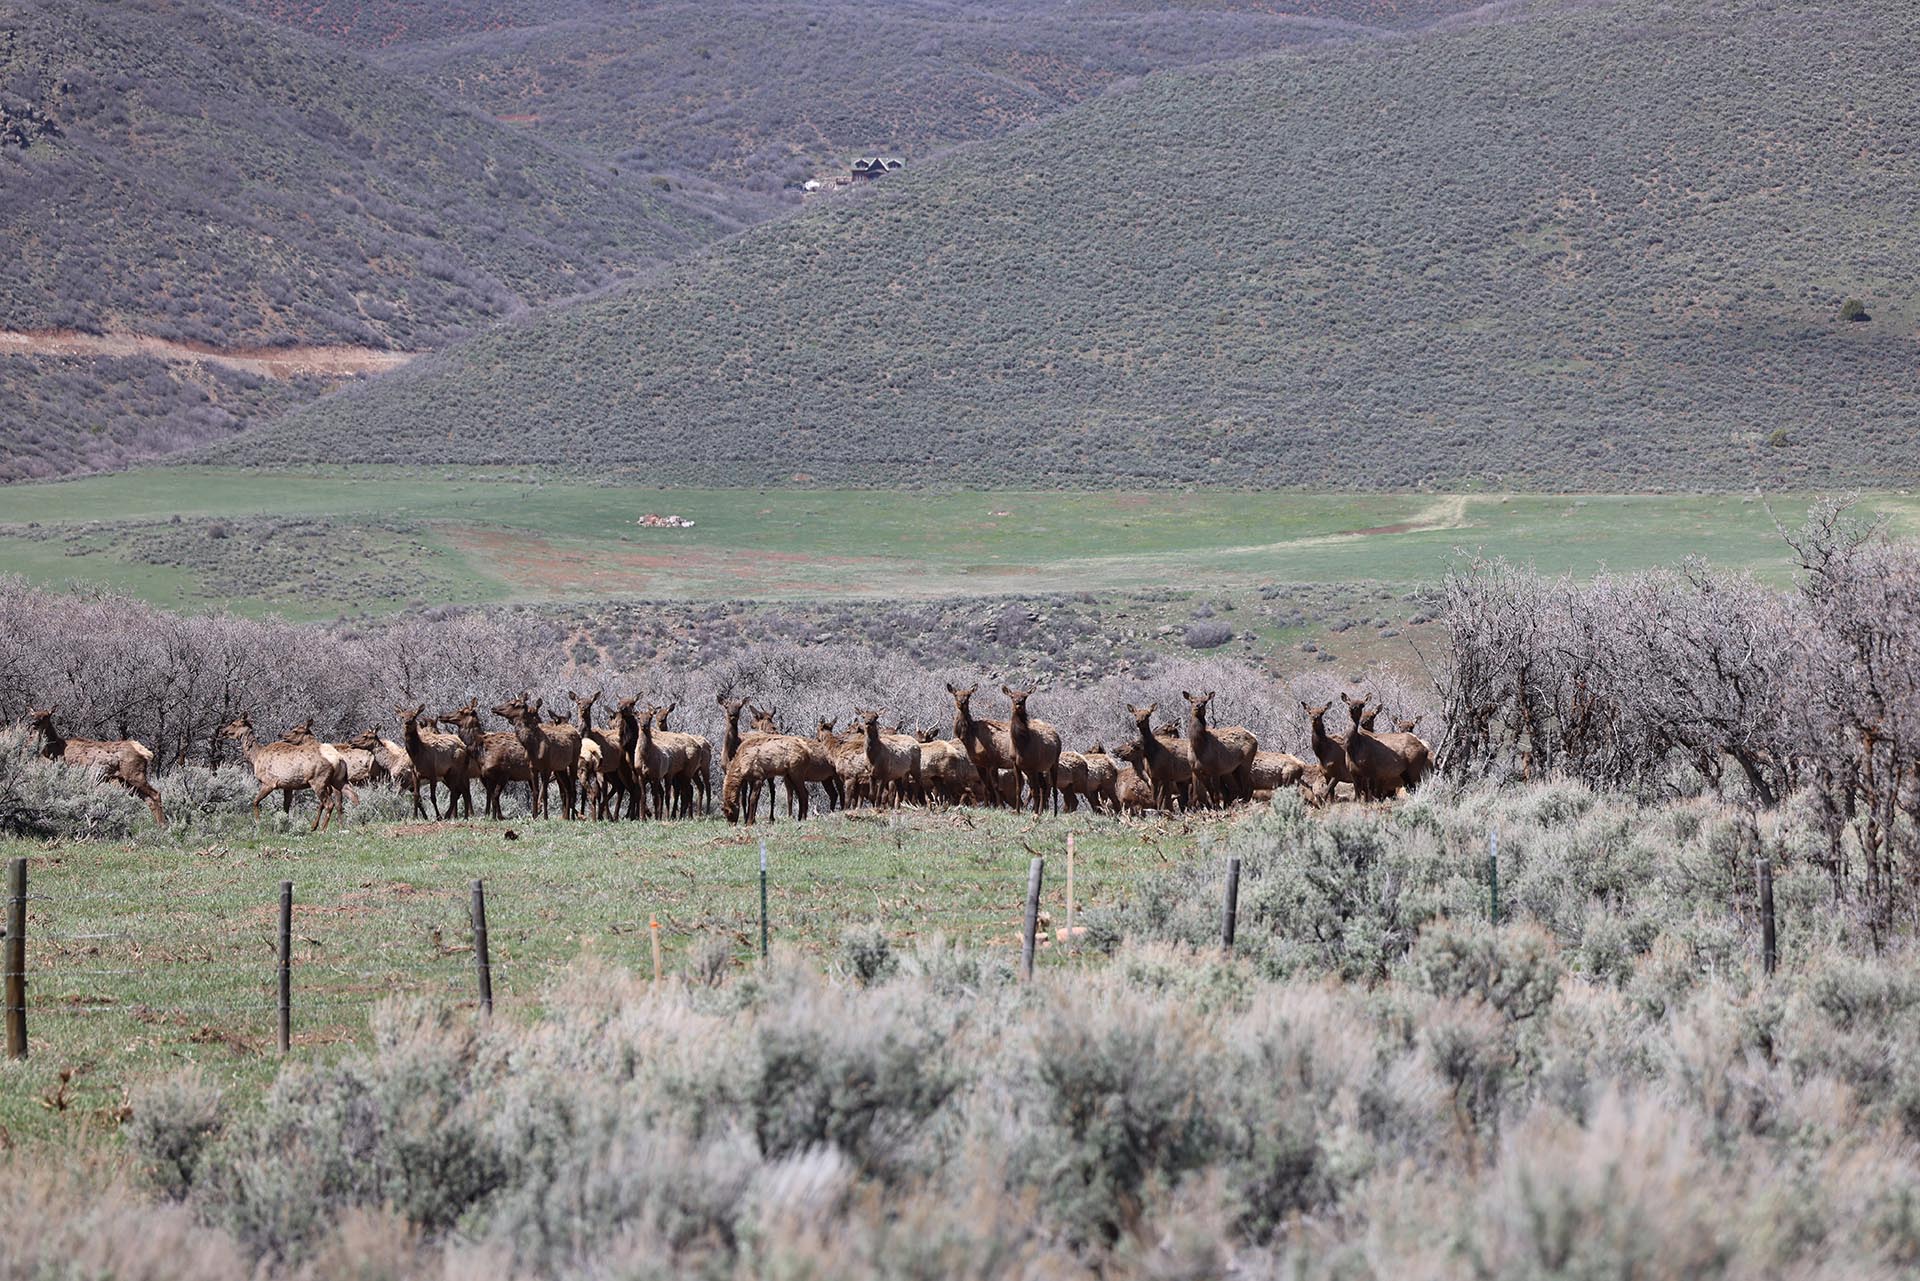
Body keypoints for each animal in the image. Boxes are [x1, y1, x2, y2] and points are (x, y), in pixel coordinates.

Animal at [25, 708, 165, 824]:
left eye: (46, 716)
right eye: (33, 714)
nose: (34, 723)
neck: (56, 750)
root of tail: (145, 752)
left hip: (135, 775)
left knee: (156, 794)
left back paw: (163, 825)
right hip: (126, 781)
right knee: (148, 800)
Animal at [1001, 686, 1062, 815]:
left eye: (1025, 697)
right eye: (1012, 696)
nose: (1018, 704)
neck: (1021, 746)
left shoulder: (1032, 766)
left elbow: (1034, 792)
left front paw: (1034, 812)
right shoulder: (1015, 764)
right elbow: (1018, 789)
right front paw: (1018, 811)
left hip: (1054, 762)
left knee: (1053, 787)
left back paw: (1054, 813)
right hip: (1039, 769)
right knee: (1044, 787)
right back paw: (1041, 811)